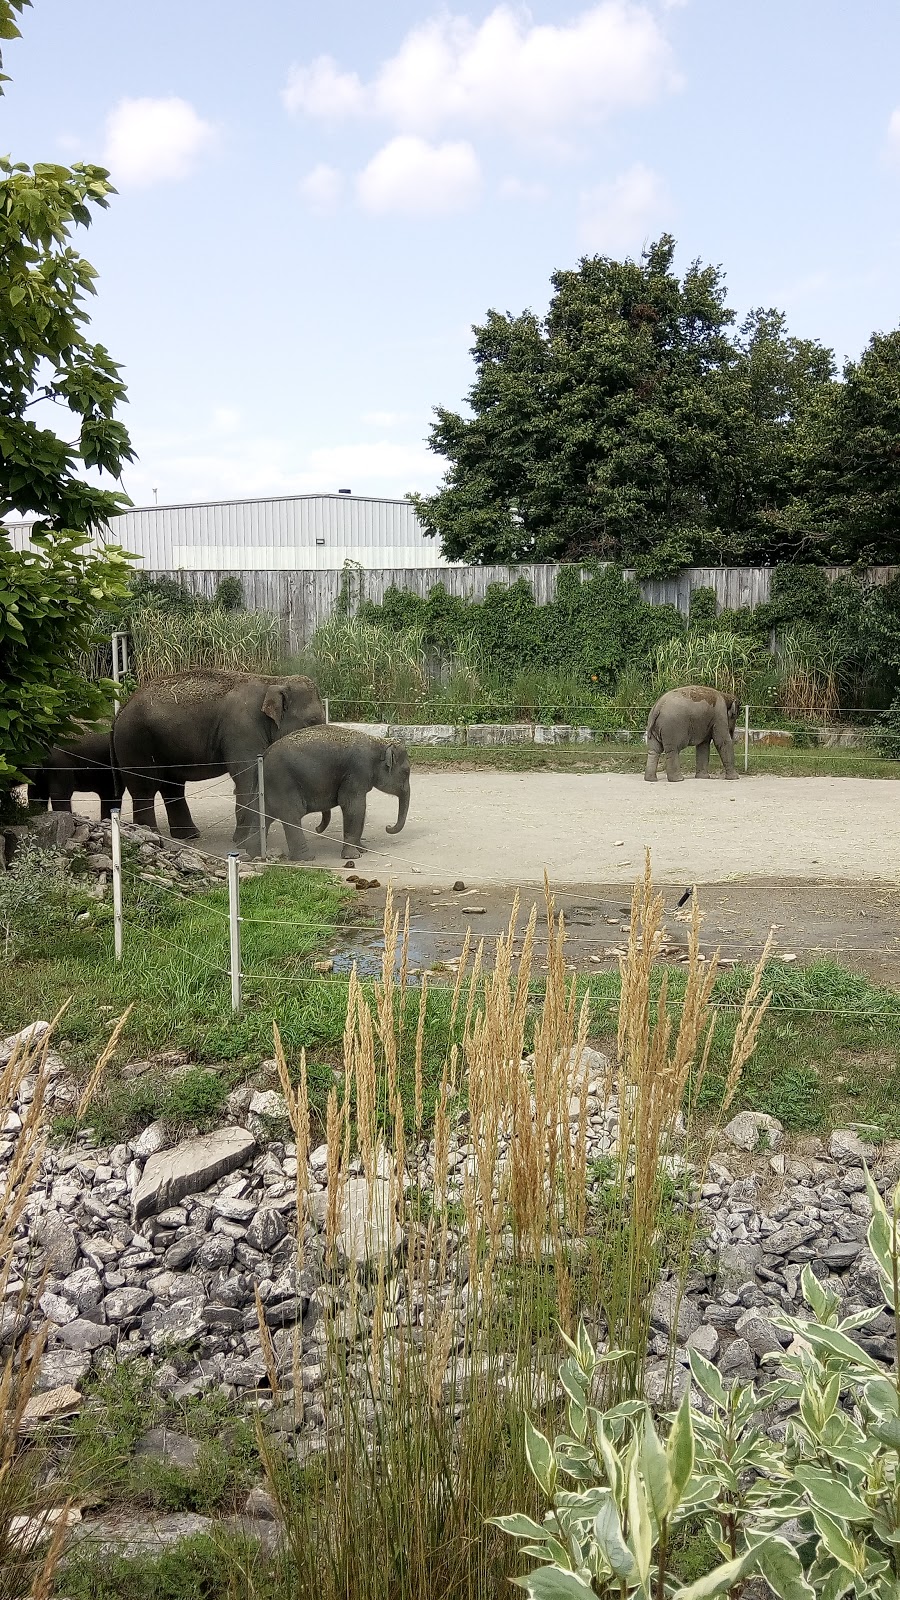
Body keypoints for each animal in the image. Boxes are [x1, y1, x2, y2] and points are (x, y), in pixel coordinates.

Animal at [111, 665, 321, 844]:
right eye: (312, 721)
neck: (273, 681)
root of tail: (122, 708)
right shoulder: (242, 729)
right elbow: (247, 776)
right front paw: (243, 841)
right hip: (136, 743)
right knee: (145, 788)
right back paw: (154, 837)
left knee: (172, 786)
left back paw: (189, 836)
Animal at [256, 729, 409, 864]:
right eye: (406, 772)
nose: (388, 827)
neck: (378, 743)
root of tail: (265, 755)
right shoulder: (357, 772)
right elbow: (354, 806)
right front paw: (353, 856)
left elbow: (358, 810)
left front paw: (363, 849)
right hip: (282, 784)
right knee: (291, 815)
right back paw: (306, 858)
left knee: (264, 818)